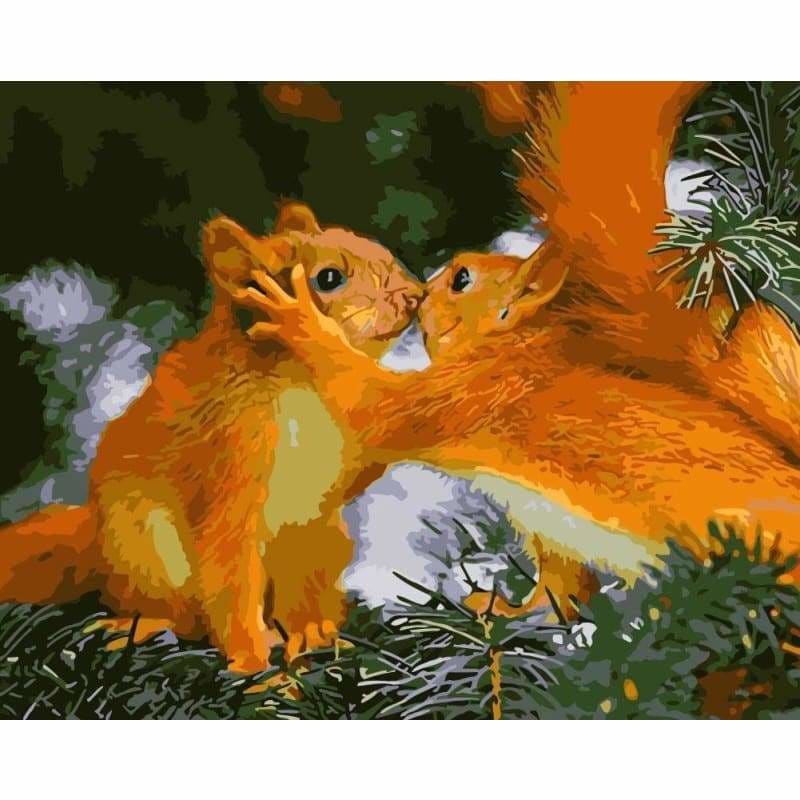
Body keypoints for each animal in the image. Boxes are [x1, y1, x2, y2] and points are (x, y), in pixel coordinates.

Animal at [0, 201, 422, 671]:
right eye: (328, 278)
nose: (416, 294)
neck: (304, 383)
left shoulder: (314, 510)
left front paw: (310, 635)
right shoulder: (233, 463)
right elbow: (230, 576)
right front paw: (256, 669)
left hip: (329, 537)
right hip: (143, 544)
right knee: (178, 613)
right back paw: (147, 625)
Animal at [244, 83, 800, 618]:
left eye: (462, 279)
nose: (421, 291)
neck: (510, 349)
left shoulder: (466, 395)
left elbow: (374, 407)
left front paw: (300, 320)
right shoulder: (547, 533)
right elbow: (560, 590)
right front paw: (507, 613)